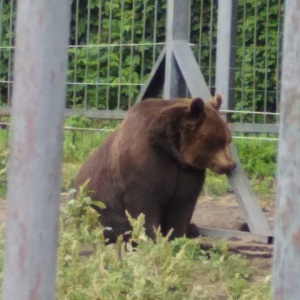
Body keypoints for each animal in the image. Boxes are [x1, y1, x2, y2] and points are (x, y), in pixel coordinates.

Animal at [74, 95, 236, 241]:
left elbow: (183, 202)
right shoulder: (145, 162)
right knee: (111, 224)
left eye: (228, 139)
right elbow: (144, 204)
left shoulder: (186, 171)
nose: (231, 165)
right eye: (218, 141)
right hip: (97, 204)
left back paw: (193, 229)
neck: (170, 149)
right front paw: (152, 237)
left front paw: (177, 236)